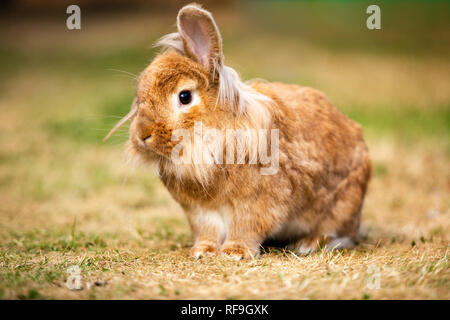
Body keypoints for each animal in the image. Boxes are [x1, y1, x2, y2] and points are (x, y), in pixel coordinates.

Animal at [106, 3, 372, 260]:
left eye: (184, 97)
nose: (143, 135)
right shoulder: (201, 212)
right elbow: (208, 231)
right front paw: (203, 251)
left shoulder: (256, 205)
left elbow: (246, 229)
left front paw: (235, 252)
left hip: (341, 207)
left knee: (341, 234)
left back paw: (307, 244)